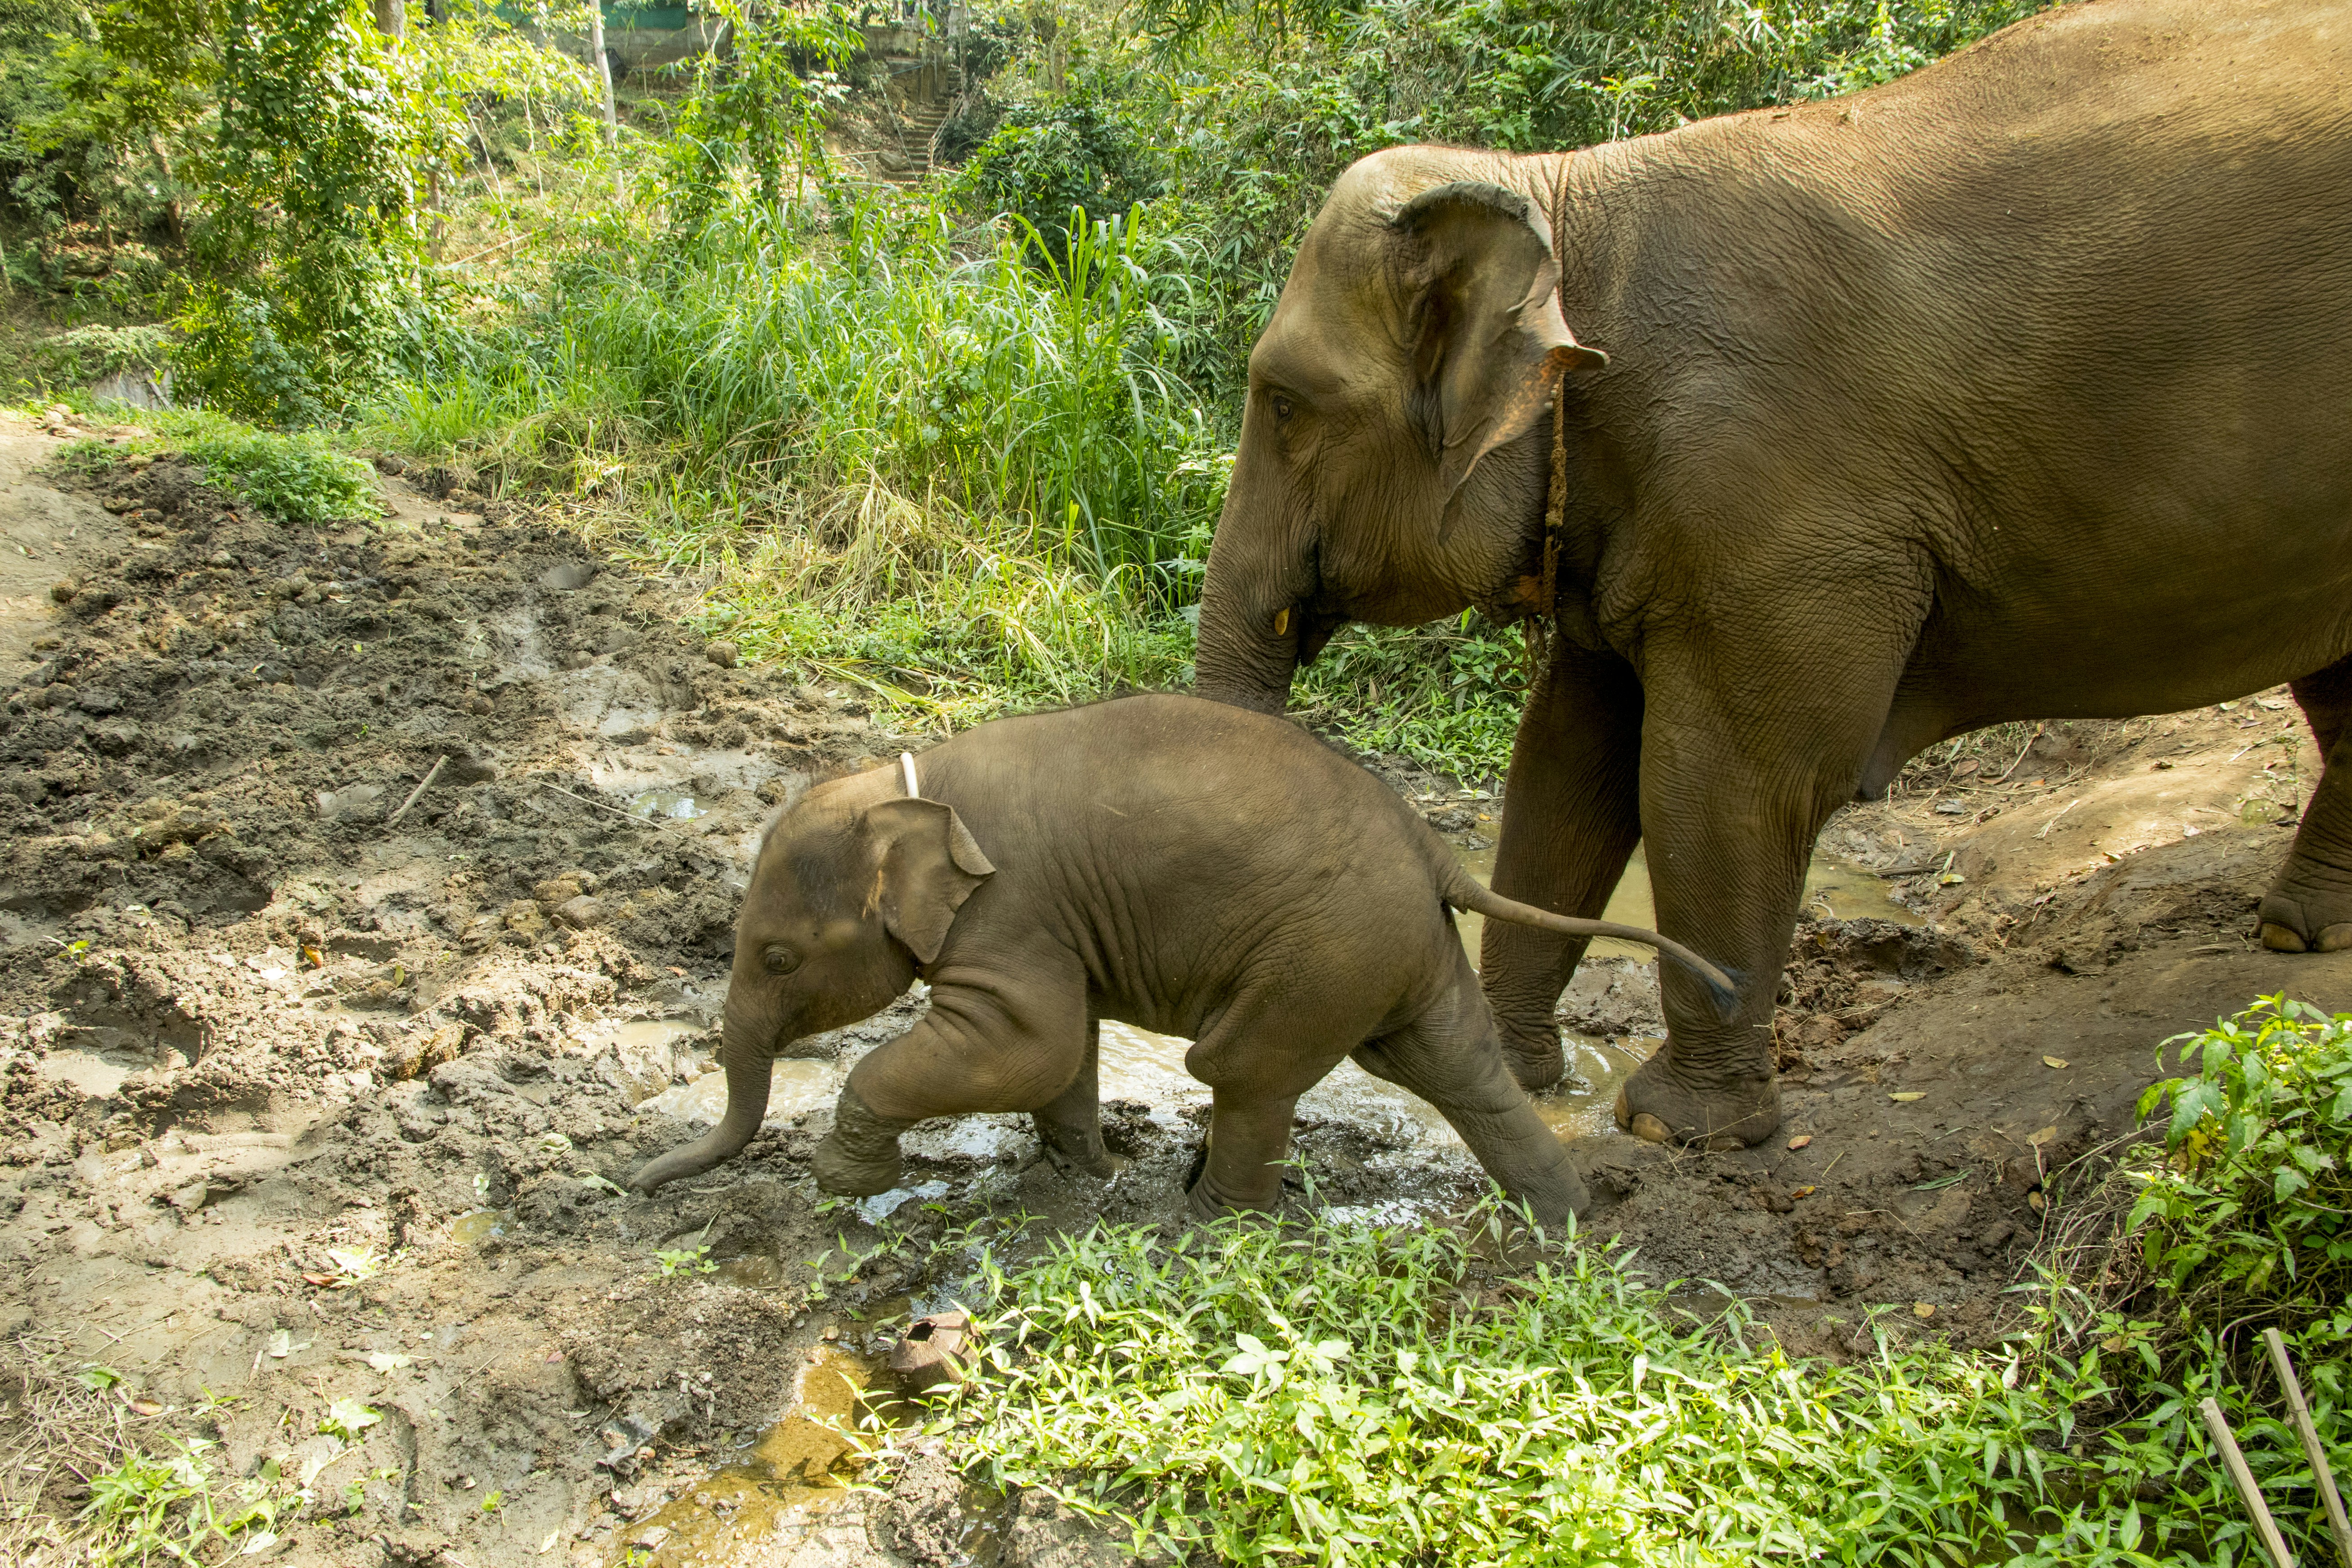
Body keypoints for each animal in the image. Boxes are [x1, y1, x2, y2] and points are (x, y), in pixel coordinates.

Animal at [627, 693, 1730, 1225]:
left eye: (776, 958)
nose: (634, 1180)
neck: (905, 783)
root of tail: (1436, 850)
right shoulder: (1049, 926)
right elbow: (1057, 1050)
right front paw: (1081, 1174)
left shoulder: (1008, 914)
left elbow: (1026, 1041)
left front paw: (843, 1182)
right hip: (1392, 951)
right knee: (1454, 1068)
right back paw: (1565, 1225)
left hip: (1324, 951)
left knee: (1242, 1069)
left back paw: (1201, 1226)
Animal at [1190, 0, 2352, 1151]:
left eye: (1284, 405)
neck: (1561, 198)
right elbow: (1567, 759)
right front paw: (1520, 1079)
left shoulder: (1776, 500)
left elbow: (1729, 775)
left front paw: (1673, 1128)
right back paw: (2300, 934)